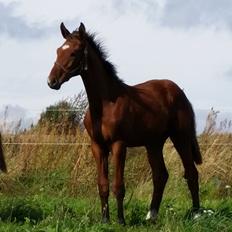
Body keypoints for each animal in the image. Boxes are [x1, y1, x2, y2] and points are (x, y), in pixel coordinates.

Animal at [47, 22, 201, 224]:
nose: (52, 81)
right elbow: (102, 185)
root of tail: (179, 92)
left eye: (74, 52)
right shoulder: (97, 146)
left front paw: (120, 220)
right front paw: (105, 220)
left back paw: (197, 214)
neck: (104, 105)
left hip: (180, 137)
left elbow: (118, 185)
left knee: (191, 172)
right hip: (153, 143)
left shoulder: (119, 145)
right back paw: (151, 216)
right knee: (160, 175)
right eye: (58, 51)